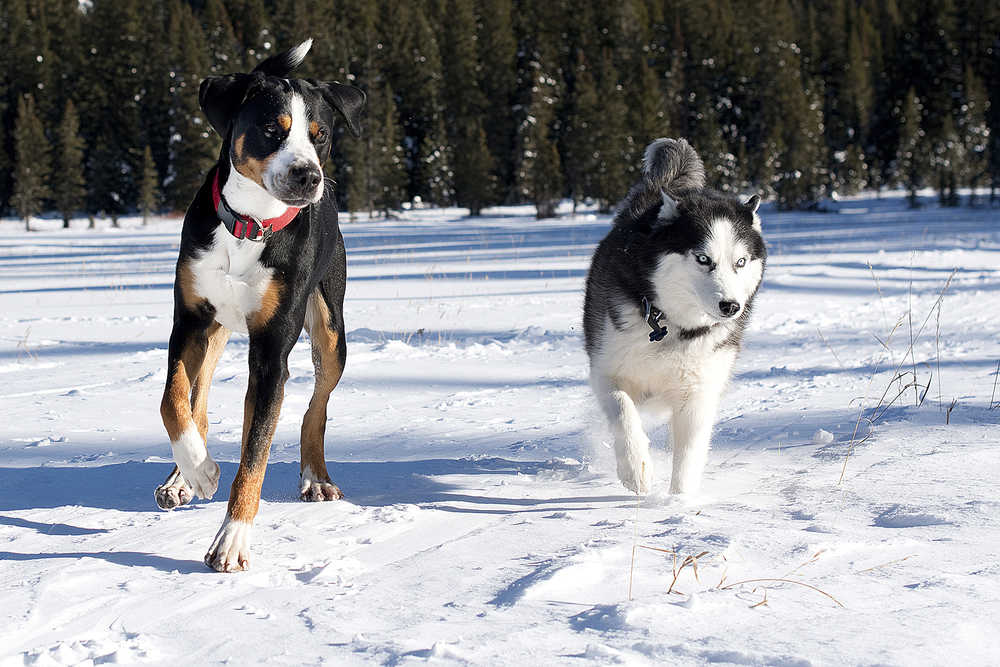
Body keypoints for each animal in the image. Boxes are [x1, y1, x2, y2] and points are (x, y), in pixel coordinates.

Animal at [152, 40, 364, 576]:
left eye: (321, 135)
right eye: (273, 128)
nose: (308, 176)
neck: (249, 227)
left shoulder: (271, 350)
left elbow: (256, 455)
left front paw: (231, 540)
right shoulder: (189, 322)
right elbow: (173, 401)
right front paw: (199, 470)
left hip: (331, 331)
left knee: (314, 408)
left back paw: (316, 478)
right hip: (216, 330)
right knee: (199, 400)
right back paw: (182, 479)